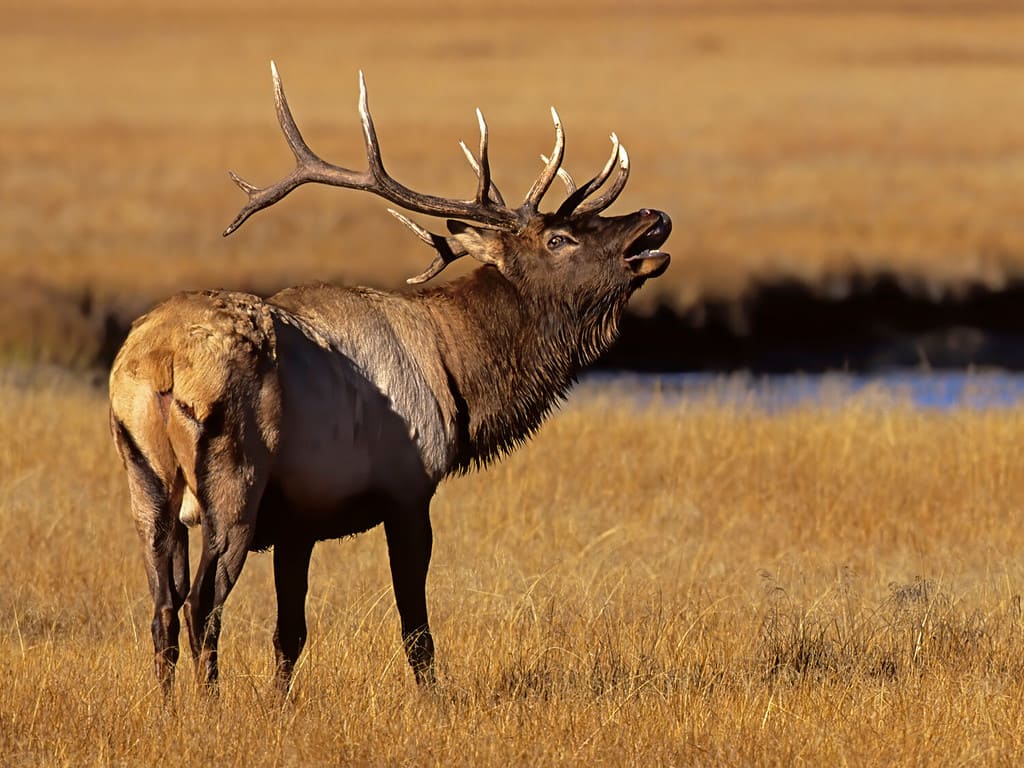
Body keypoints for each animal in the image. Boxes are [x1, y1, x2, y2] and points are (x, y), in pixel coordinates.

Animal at [110, 63, 671, 696]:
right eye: (559, 238)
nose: (654, 218)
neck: (458, 378)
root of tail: (158, 364)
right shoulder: (408, 490)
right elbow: (415, 629)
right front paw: (433, 702)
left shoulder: (299, 519)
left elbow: (289, 634)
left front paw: (278, 704)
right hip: (233, 481)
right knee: (201, 604)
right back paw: (209, 705)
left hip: (145, 483)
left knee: (162, 608)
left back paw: (168, 705)